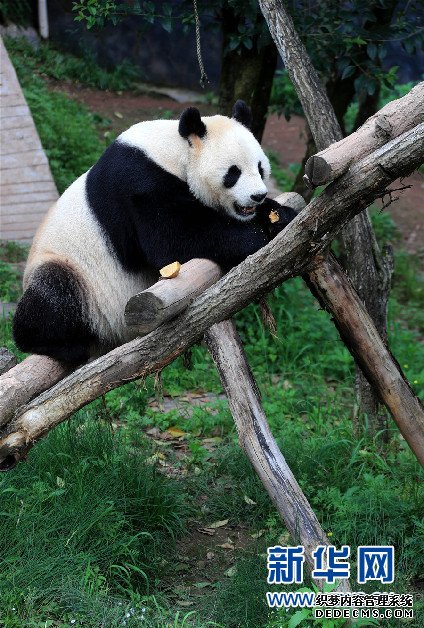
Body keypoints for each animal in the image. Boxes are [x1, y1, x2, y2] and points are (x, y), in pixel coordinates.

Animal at [12, 99, 294, 364]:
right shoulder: (140, 185)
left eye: (260, 168)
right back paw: (58, 344)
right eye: (233, 173)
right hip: (76, 275)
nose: (258, 195)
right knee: (52, 294)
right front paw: (254, 237)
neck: (173, 152)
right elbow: (172, 240)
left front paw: (278, 216)